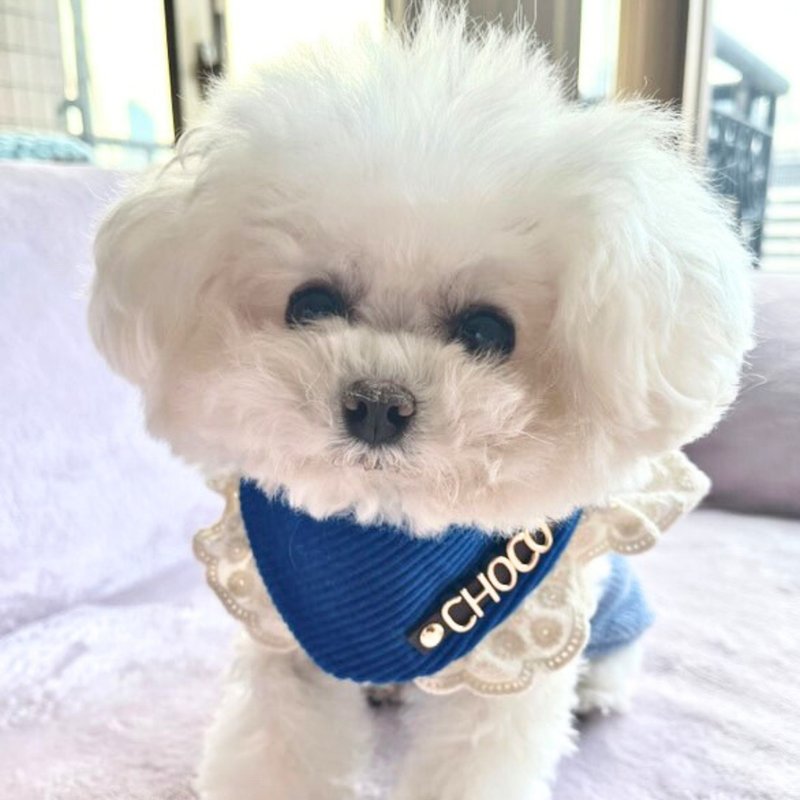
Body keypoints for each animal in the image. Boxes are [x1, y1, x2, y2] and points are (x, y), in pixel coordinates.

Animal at [90, 6, 752, 800]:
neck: (387, 526)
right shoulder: (281, 637)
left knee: (616, 656)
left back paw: (597, 692)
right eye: (311, 304)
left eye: (487, 330)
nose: (378, 402)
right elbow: (279, 744)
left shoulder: (508, 659)